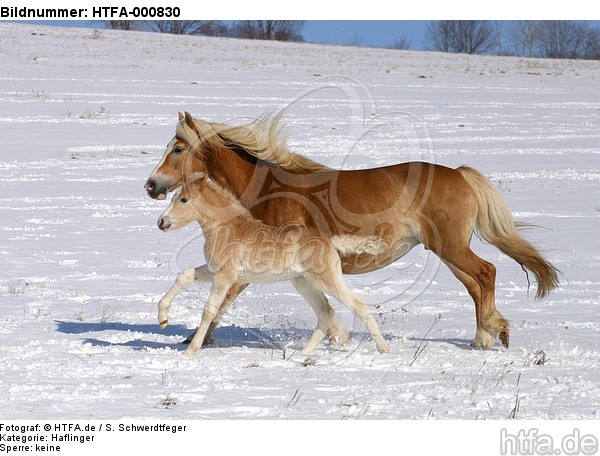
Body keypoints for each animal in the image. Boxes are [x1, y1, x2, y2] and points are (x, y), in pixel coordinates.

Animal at [157, 173, 390, 358]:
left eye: (184, 199)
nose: (161, 222)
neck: (227, 227)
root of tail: (329, 240)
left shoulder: (225, 276)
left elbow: (209, 310)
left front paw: (191, 350)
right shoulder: (214, 270)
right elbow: (184, 275)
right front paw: (162, 318)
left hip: (325, 280)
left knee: (358, 304)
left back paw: (383, 349)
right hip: (303, 283)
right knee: (326, 311)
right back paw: (304, 352)